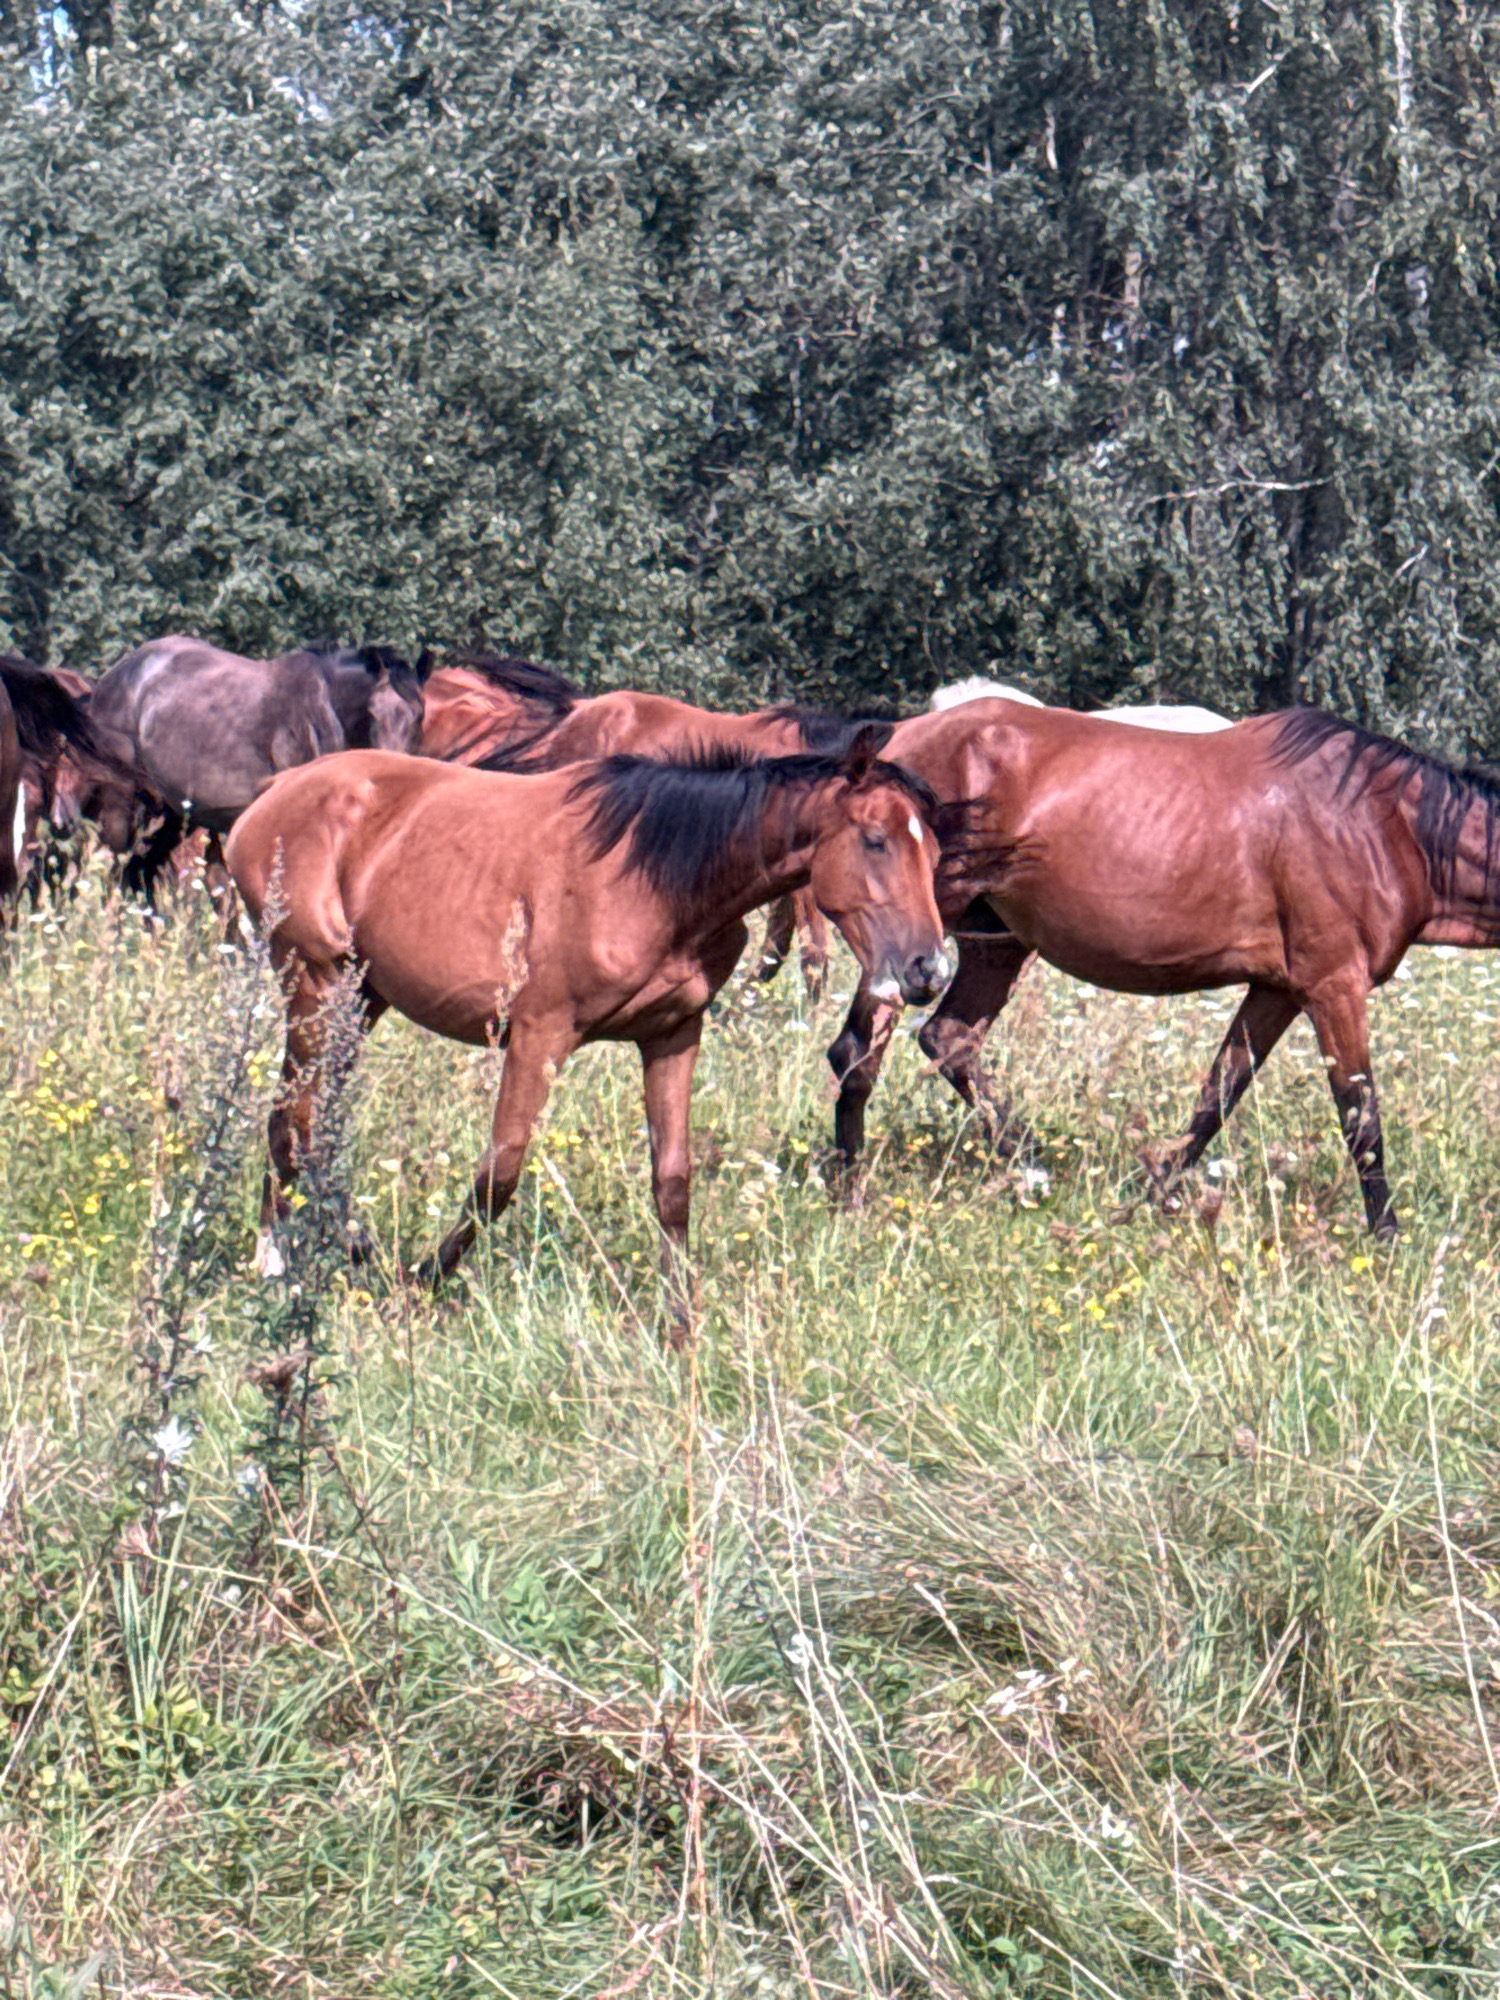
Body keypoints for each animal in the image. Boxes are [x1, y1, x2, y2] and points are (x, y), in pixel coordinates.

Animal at [87, 637, 428, 901]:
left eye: (420, 713)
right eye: (373, 711)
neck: (326, 710)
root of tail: (111, 679)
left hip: (177, 814)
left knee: (139, 872)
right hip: (125, 804)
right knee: (112, 868)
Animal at [226, 733, 950, 1334]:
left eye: (935, 849)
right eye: (876, 839)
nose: (930, 970)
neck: (660, 879)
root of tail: (271, 796)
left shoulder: (673, 1035)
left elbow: (673, 1182)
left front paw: (680, 1325)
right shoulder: (539, 1035)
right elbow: (498, 1176)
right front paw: (420, 1285)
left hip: (360, 999)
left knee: (305, 1123)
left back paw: (319, 1247)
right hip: (316, 986)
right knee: (297, 1122)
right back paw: (300, 1257)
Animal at [826, 697, 1500, 1237]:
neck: (1384, 826)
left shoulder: (1276, 990)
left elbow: (1218, 1094)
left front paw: (1155, 1192)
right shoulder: (1334, 986)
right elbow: (1361, 1117)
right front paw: (1387, 1236)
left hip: (998, 944)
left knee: (947, 1041)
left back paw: (1031, 1170)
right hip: (909, 941)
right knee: (859, 1052)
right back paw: (852, 1191)